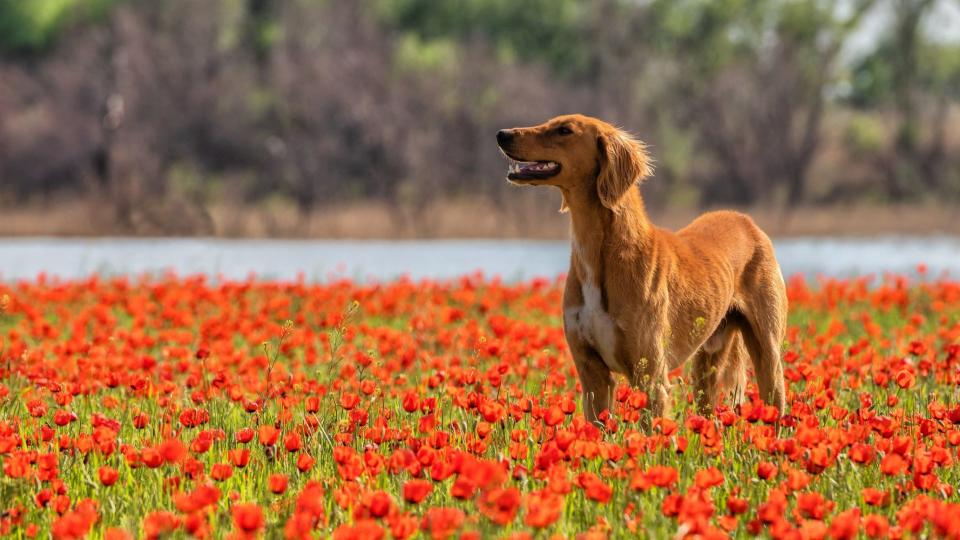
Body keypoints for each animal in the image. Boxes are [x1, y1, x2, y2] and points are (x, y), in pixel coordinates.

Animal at [496, 115, 788, 426]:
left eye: (564, 130)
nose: (502, 134)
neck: (601, 254)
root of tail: (746, 220)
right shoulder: (592, 377)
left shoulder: (651, 378)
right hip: (706, 365)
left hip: (768, 357)